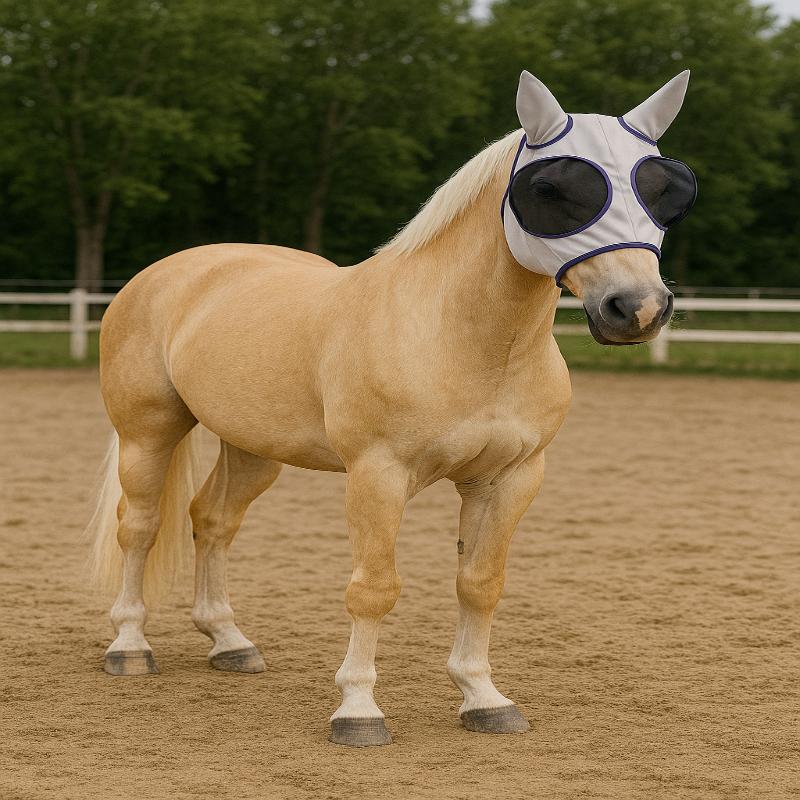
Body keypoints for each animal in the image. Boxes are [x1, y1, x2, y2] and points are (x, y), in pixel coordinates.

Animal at [87, 70, 696, 747]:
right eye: (551, 187)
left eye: (666, 189)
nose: (637, 308)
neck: (464, 341)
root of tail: (166, 274)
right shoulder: (378, 475)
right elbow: (374, 589)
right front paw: (358, 710)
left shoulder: (510, 479)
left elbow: (480, 584)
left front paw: (484, 699)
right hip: (148, 432)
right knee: (139, 526)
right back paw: (130, 646)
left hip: (252, 448)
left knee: (212, 521)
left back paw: (229, 642)